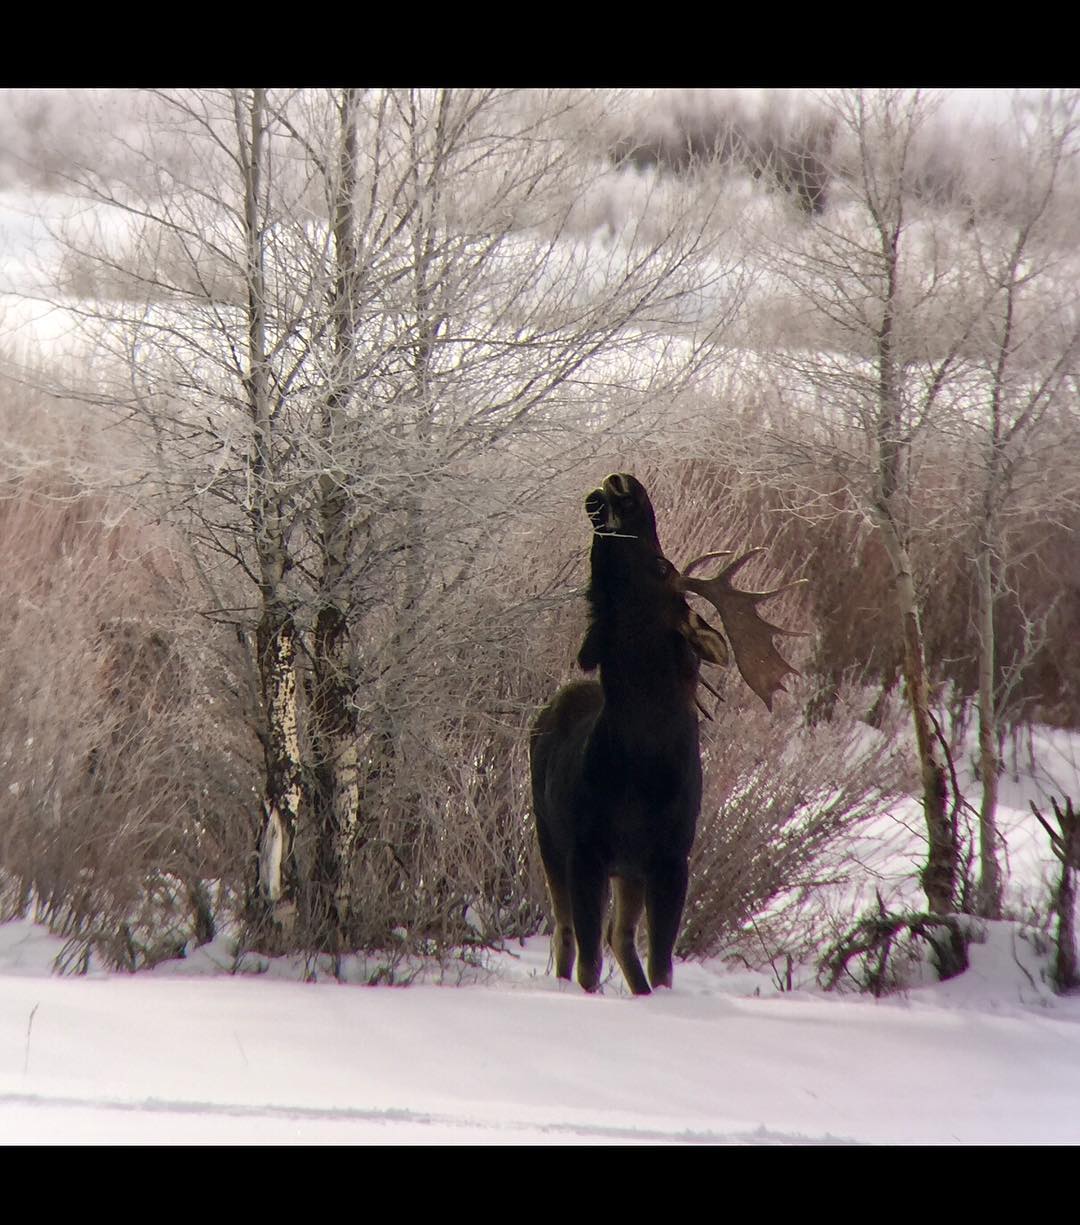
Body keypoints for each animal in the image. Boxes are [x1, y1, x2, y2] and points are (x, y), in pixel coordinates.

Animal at [531, 470, 798, 994]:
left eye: (661, 564)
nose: (622, 482)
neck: (641, 763)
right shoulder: (586, 849)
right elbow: (590, 962)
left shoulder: (671, 857)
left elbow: (663, 965)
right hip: (549, 834)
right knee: (568, 933)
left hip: (627, 870)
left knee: (619, 936)